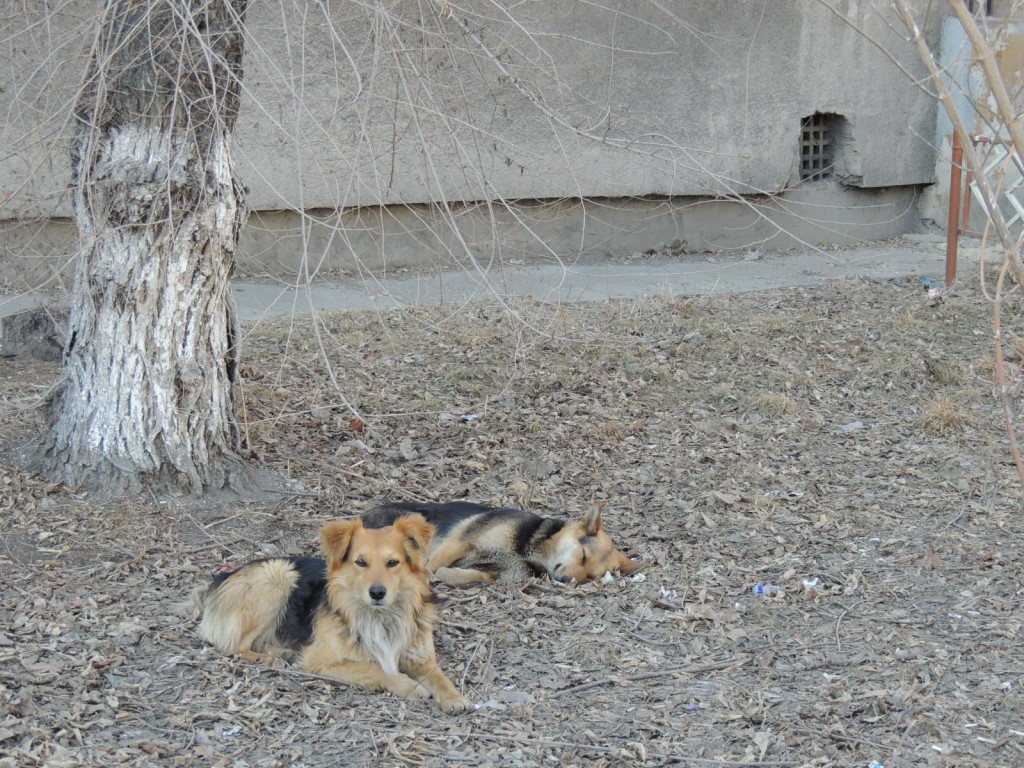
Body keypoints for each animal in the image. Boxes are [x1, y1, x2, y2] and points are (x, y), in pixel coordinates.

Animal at [192, 514, 471, 720]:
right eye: (361, 562)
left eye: (393, 563)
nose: (377, 592)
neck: (380, 616)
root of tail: (223, 576)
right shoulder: (322, 661)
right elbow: (377, 668)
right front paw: (410, 686)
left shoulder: (421, 658)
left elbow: (440, 677)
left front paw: (456, 697)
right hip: (278, 574)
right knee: (234, 646)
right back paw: (269, 658)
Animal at [362, 501, 638, 585]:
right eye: (582, 555)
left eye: (590, 577)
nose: (566, 581)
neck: (528, 550)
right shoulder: (461, 541)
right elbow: (430, 566)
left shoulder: (501, 572)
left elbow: (472, 575)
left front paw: (448, 575)